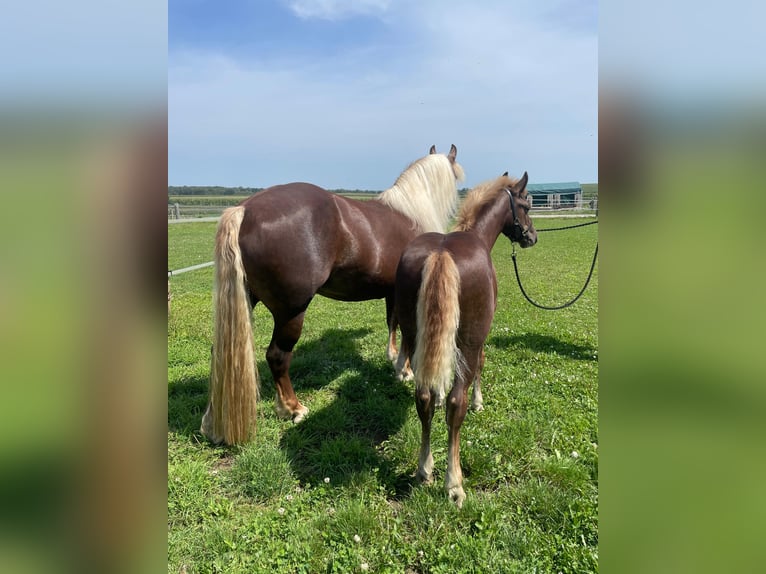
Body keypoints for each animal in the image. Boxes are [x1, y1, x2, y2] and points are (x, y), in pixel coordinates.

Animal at [204, 144, 464, 446]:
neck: (411, 213)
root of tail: (245, 209)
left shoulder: (392, 292)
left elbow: (392, 323)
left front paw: (394, 360)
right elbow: (406, 332)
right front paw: (405, 370)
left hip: (247, 303)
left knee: (222, 354)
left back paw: (211, 421)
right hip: (291, 311)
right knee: (277, 357)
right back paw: (293, 408)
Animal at [392, 171, 536, 508]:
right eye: (526, 204)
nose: (532, 237)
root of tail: (441, 254)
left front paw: (440, 393)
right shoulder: (477, 341)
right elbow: (480, 368)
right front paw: (479, 402)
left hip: (415, 337)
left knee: (423, 399)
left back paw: (424, 470)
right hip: (468, 342)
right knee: (456, 404)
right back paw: (453, 484)